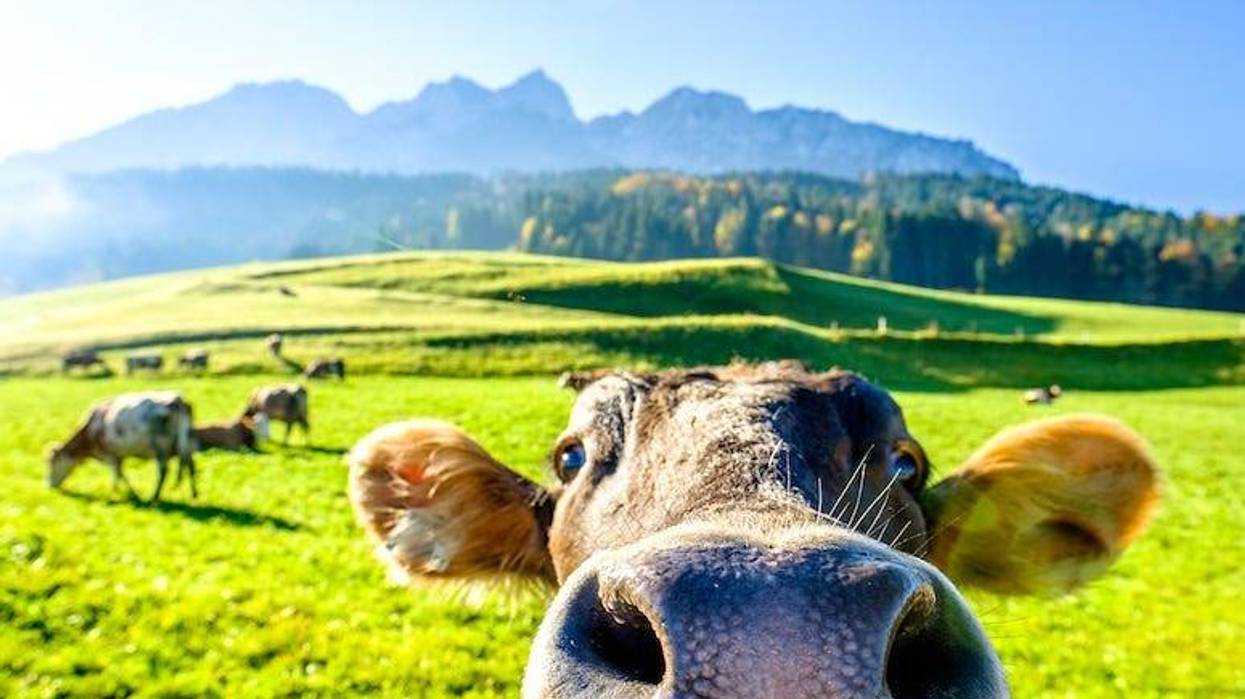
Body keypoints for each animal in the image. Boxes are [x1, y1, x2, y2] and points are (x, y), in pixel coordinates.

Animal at [47, 391, 197, 502]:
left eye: (51, 462)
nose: (49, 485)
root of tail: (177, 399)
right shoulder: (118, 456)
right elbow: (119, 474)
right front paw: (119, 491)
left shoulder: (109, 455)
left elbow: (119, 474)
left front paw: (127, 493)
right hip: (185, 442)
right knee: (190, 465)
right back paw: (194, 494)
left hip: (161, 446)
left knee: (163, 471)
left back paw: (154, 498)